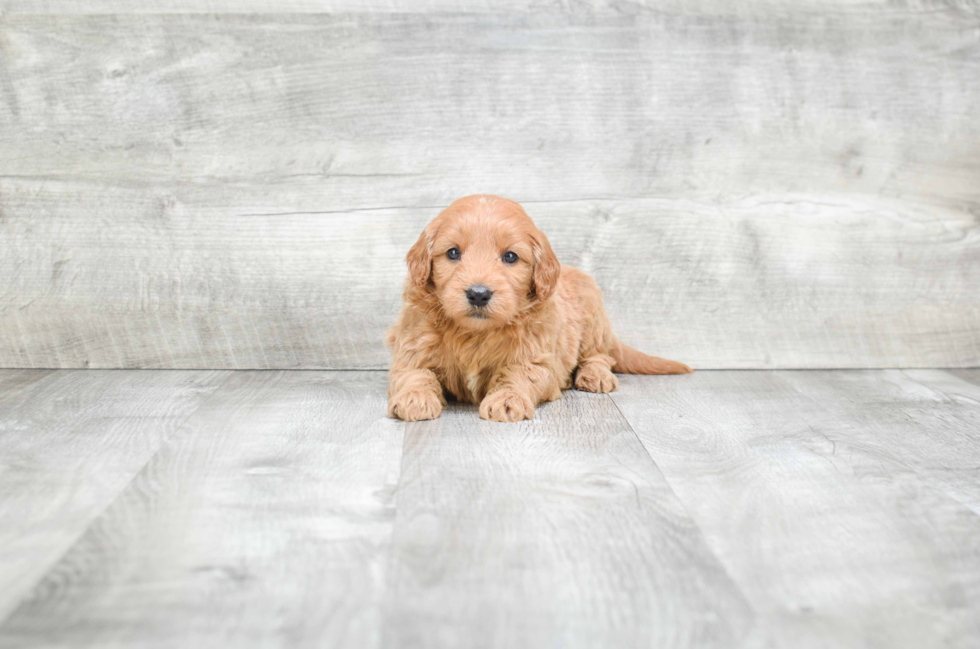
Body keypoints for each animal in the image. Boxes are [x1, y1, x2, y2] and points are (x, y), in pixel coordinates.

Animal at [382, 195, 688, 422]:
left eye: (510, 257)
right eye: (453, 253)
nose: (478, 294)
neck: (474, 333)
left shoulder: (535, 356)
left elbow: (517, 374)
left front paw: (507, 399)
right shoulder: (412, 345)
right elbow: (414, 373)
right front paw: (415, 397)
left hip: (593, 320)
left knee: (599, 356)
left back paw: (595, 376)